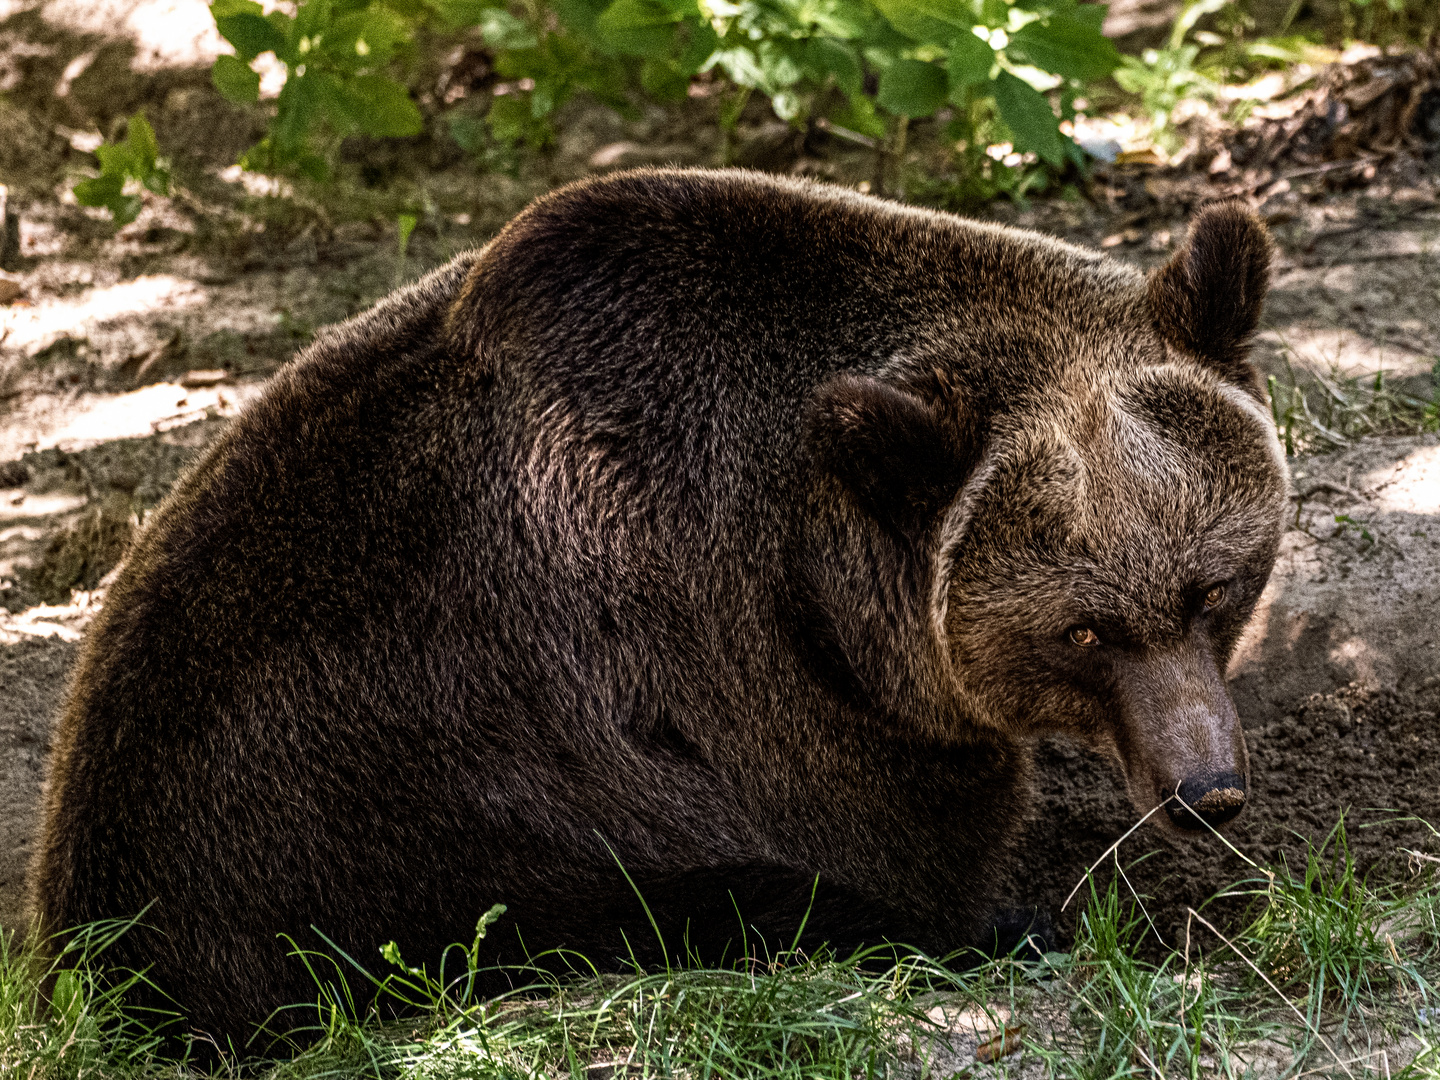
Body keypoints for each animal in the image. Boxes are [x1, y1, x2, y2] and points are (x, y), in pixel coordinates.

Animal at [25, 169, 1284, 1059]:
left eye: (1214, 587)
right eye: (1082, 631)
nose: (1205, 791)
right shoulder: (754, 694)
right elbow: (903, 860)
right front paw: (1013, 916)